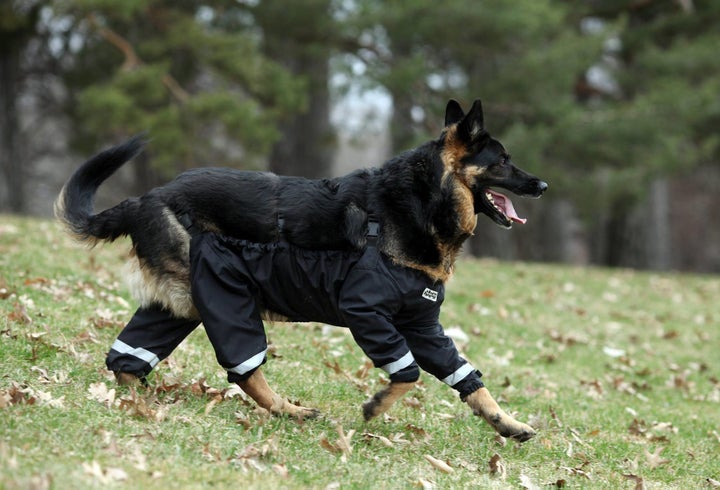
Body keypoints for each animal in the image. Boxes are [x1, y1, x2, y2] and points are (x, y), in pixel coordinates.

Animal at [56, 98, 548, 440]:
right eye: (503, 160)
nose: (543, 185)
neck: (424, 200)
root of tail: (145, 198)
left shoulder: (423, 325)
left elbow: (467, 377)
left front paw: (506, 422)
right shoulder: (367, 313)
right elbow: (406, 373)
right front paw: (376, 406)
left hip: (181, 304)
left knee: (131, 353)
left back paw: (137, 392)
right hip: (220, 292)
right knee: (244, 366)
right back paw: (285, 410)